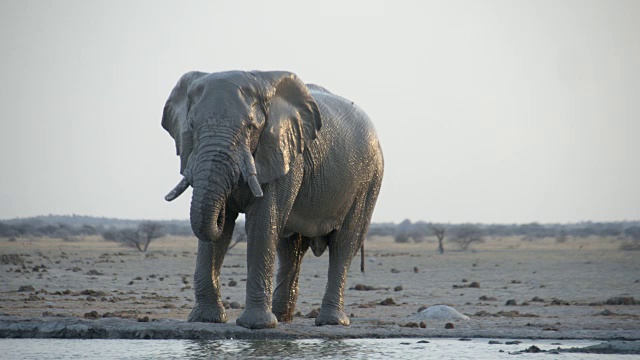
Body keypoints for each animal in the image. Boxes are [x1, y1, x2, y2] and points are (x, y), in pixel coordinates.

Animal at [162, 70, 382, 330]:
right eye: (192, 126)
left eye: (250, 127)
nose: (223, 211)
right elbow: (220, 234)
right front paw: (207, 319)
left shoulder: (286, 155)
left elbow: (263, 221)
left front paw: (256, 325)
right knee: (290, 250)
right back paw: (282, 318)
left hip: (368, 181)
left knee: (344, 243)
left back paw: (331, 322)